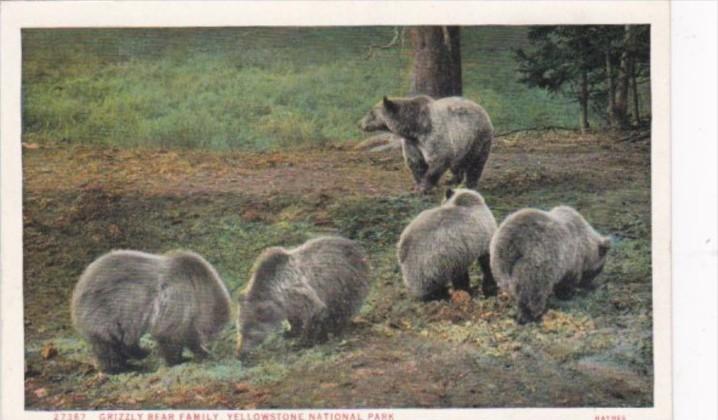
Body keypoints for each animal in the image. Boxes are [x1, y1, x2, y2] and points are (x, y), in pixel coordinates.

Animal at [70, 249, 231, 370]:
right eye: (214, 331)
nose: (211, 344)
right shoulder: (179, 298)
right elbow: (169, 333)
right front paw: (180, 359)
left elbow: (185, 334)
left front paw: (199, 352)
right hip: (106, 311)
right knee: (111, 345)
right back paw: (125, 364)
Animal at [236, 236, 372, 358]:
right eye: (240, 330)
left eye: (250, 334)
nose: (240, 354)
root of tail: (359, 247)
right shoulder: (289, 305)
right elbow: (295, 319)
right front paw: (290, 332)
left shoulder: (300, 294)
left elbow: (314, 313)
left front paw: (305, 342)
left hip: (345, 282)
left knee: (343, 308)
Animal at [360, 95, 496, 192]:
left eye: (371, 112)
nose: (359, 123)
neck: (414, 127)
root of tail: (480, 107)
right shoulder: (412, 143)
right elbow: (415, 162)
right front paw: (419, 184)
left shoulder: (433, 135)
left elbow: (439, 158)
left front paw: (424, 187)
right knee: (457, 164)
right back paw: (453, 180)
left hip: (479, 137)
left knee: (476, 163)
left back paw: (470, 183)